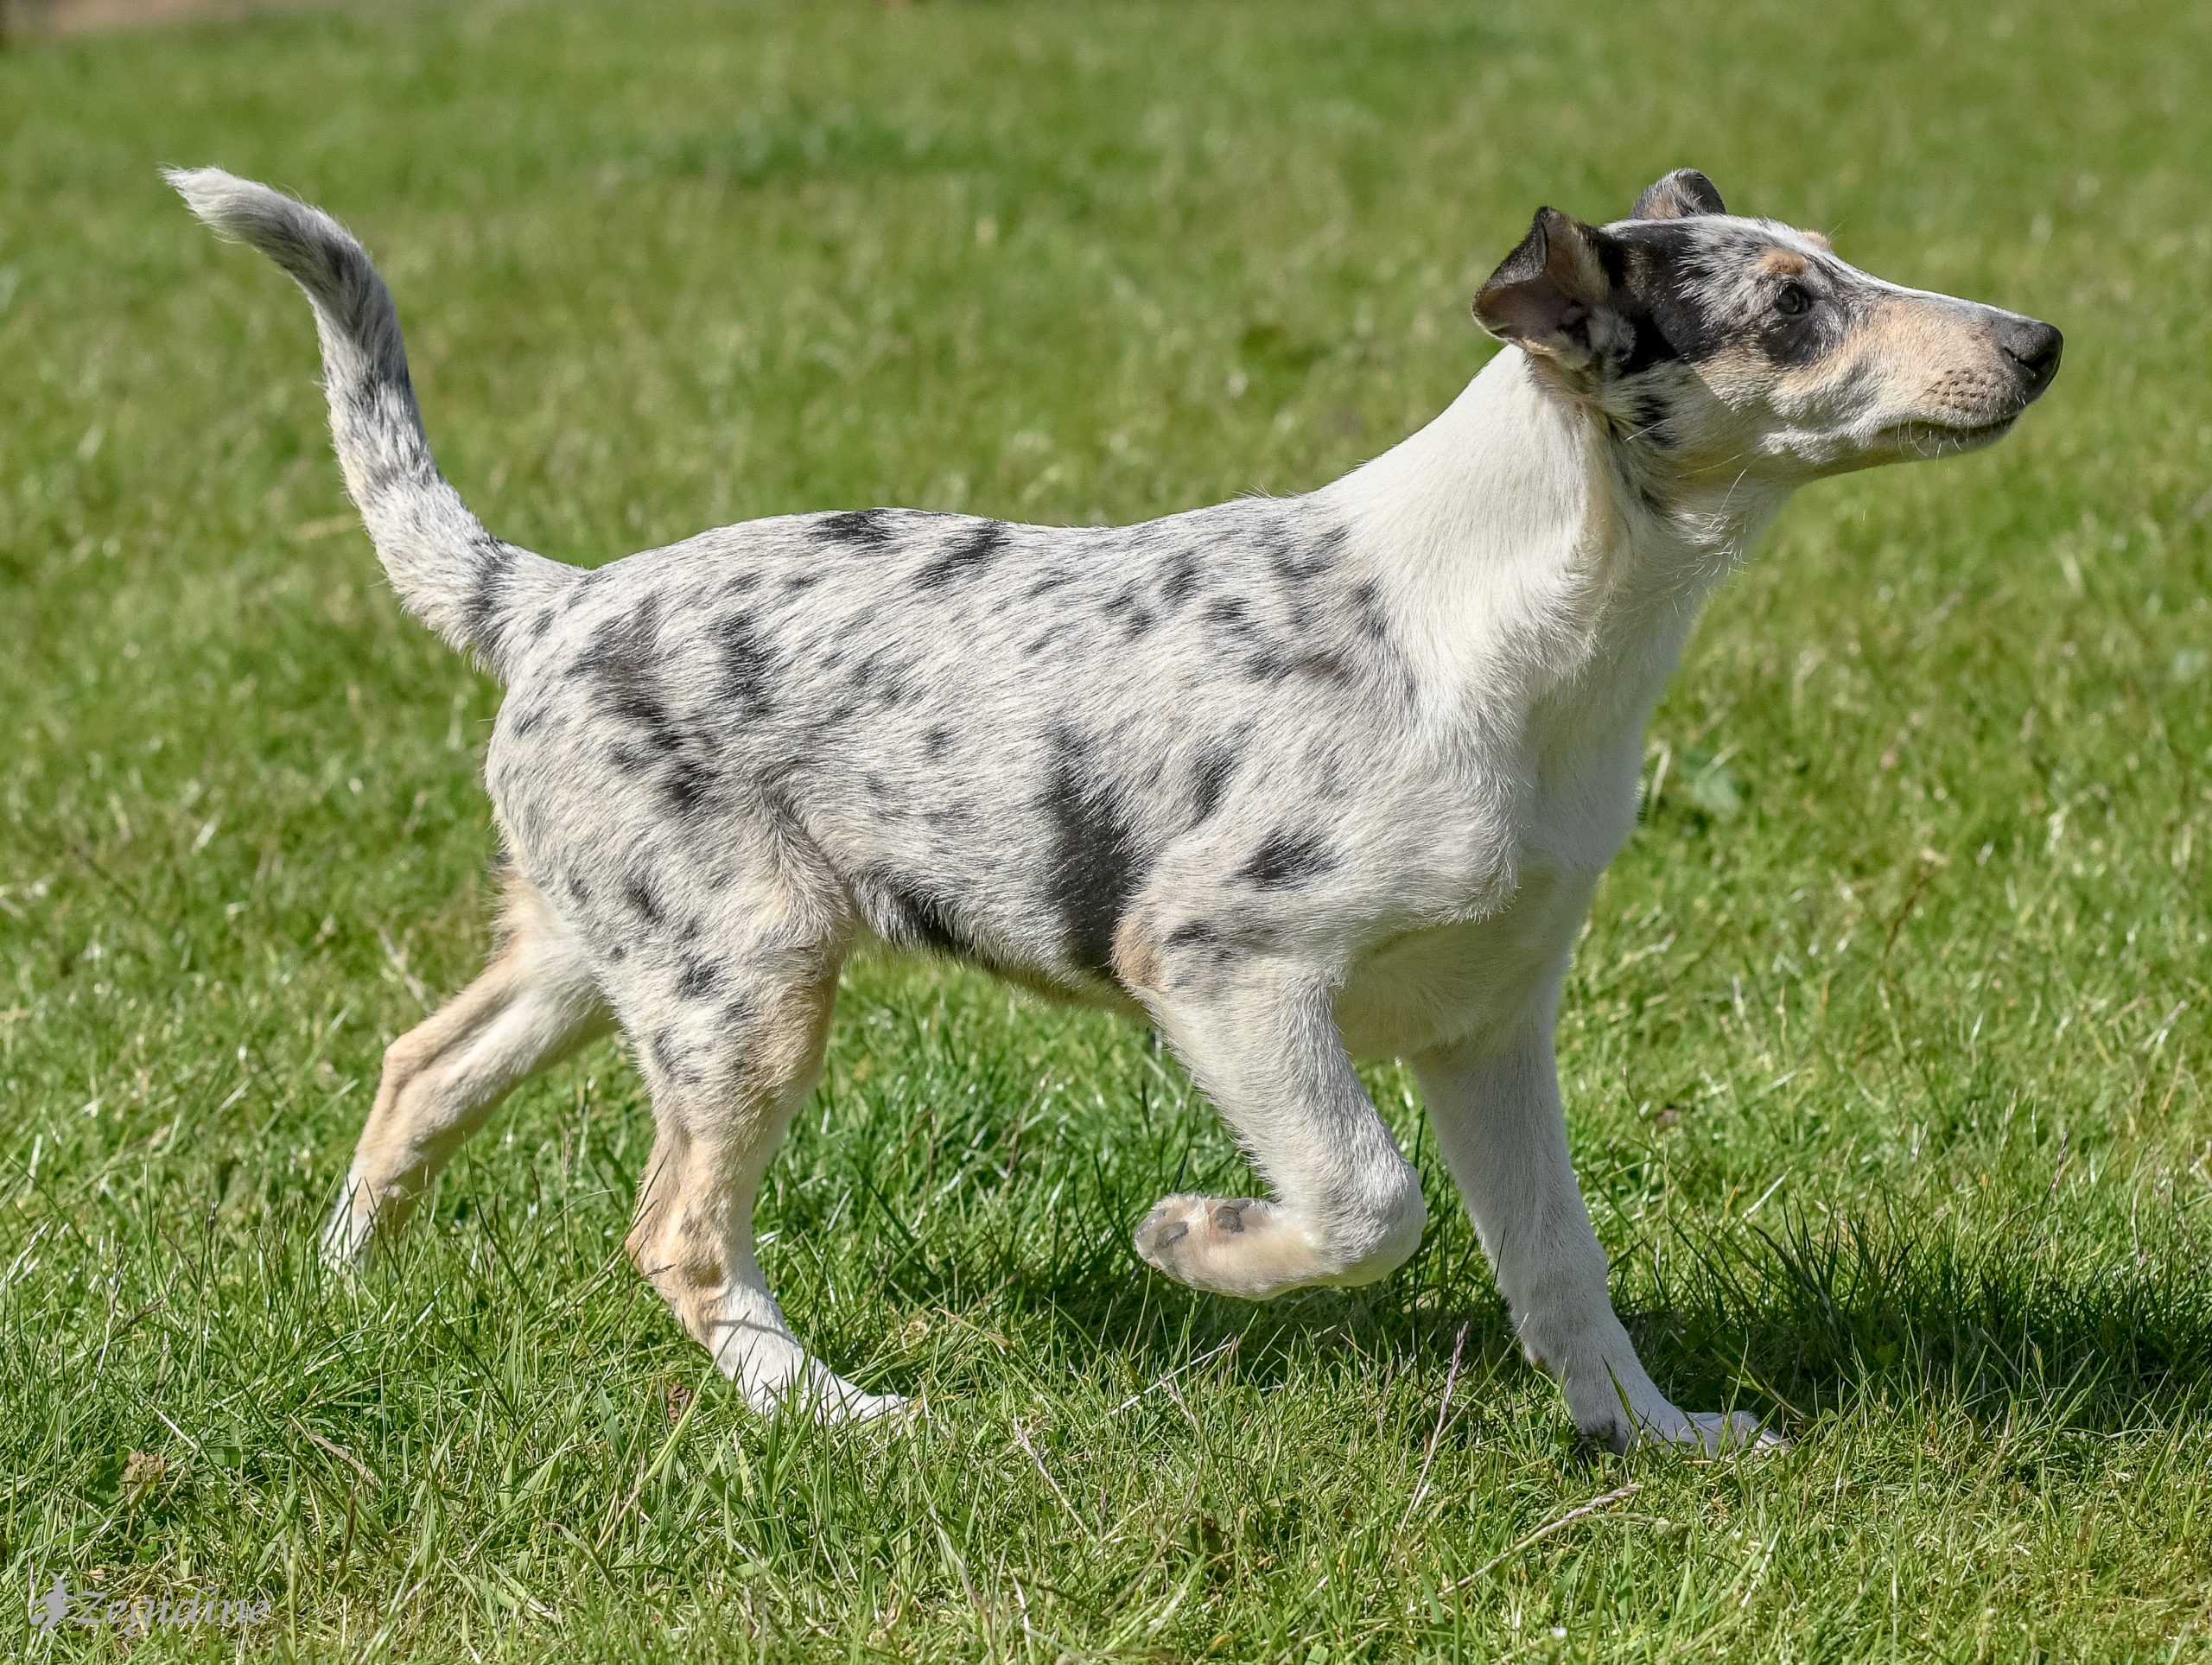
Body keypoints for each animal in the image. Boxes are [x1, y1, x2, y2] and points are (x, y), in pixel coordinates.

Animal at [168, 162, 2052, 1450]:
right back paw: (834, 1415)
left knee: (420, 1070)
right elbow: (1366, 1201)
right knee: (677, 1233)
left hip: (607, 947)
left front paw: (1652, 1440)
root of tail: (554, 599)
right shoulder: (1222, 964)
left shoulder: (1492, 1019)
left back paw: (339, 1294)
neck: (1518, 631)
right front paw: (1195, 1242)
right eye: (1791, 308)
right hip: (747, 984)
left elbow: (1558, 1263)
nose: (2038, 341)